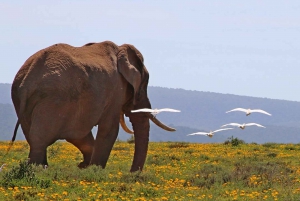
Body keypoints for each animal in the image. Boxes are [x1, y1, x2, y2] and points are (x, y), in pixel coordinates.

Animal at [11, 40, 176, 171]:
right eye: (141, 90)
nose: (132, 173)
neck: (121, 50)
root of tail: (27, 81)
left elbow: (82, 133)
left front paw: (84, 166)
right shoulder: (115, 91)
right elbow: (109, 129)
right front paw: (95, 170)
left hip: (24, 101)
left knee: (36, 137)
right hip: (53, 99)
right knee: (41, 138)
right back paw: (39, 169)